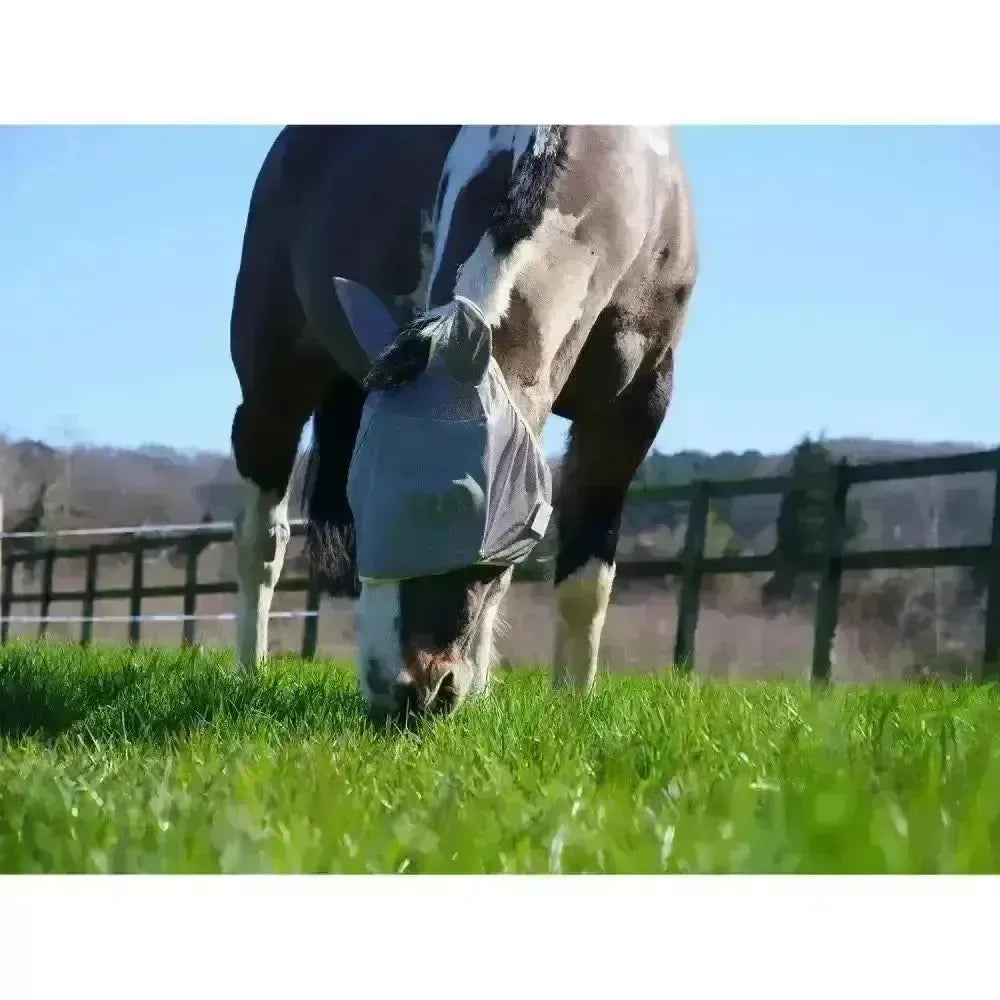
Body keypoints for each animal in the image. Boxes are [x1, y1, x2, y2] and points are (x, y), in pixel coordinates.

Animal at [229, 126, 697, 718]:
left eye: (460, 506)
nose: (406, 693)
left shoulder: (632, 414)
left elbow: (584, 580)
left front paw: (570, 704)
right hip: (272, 393)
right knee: (262, 544)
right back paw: (250, 672)